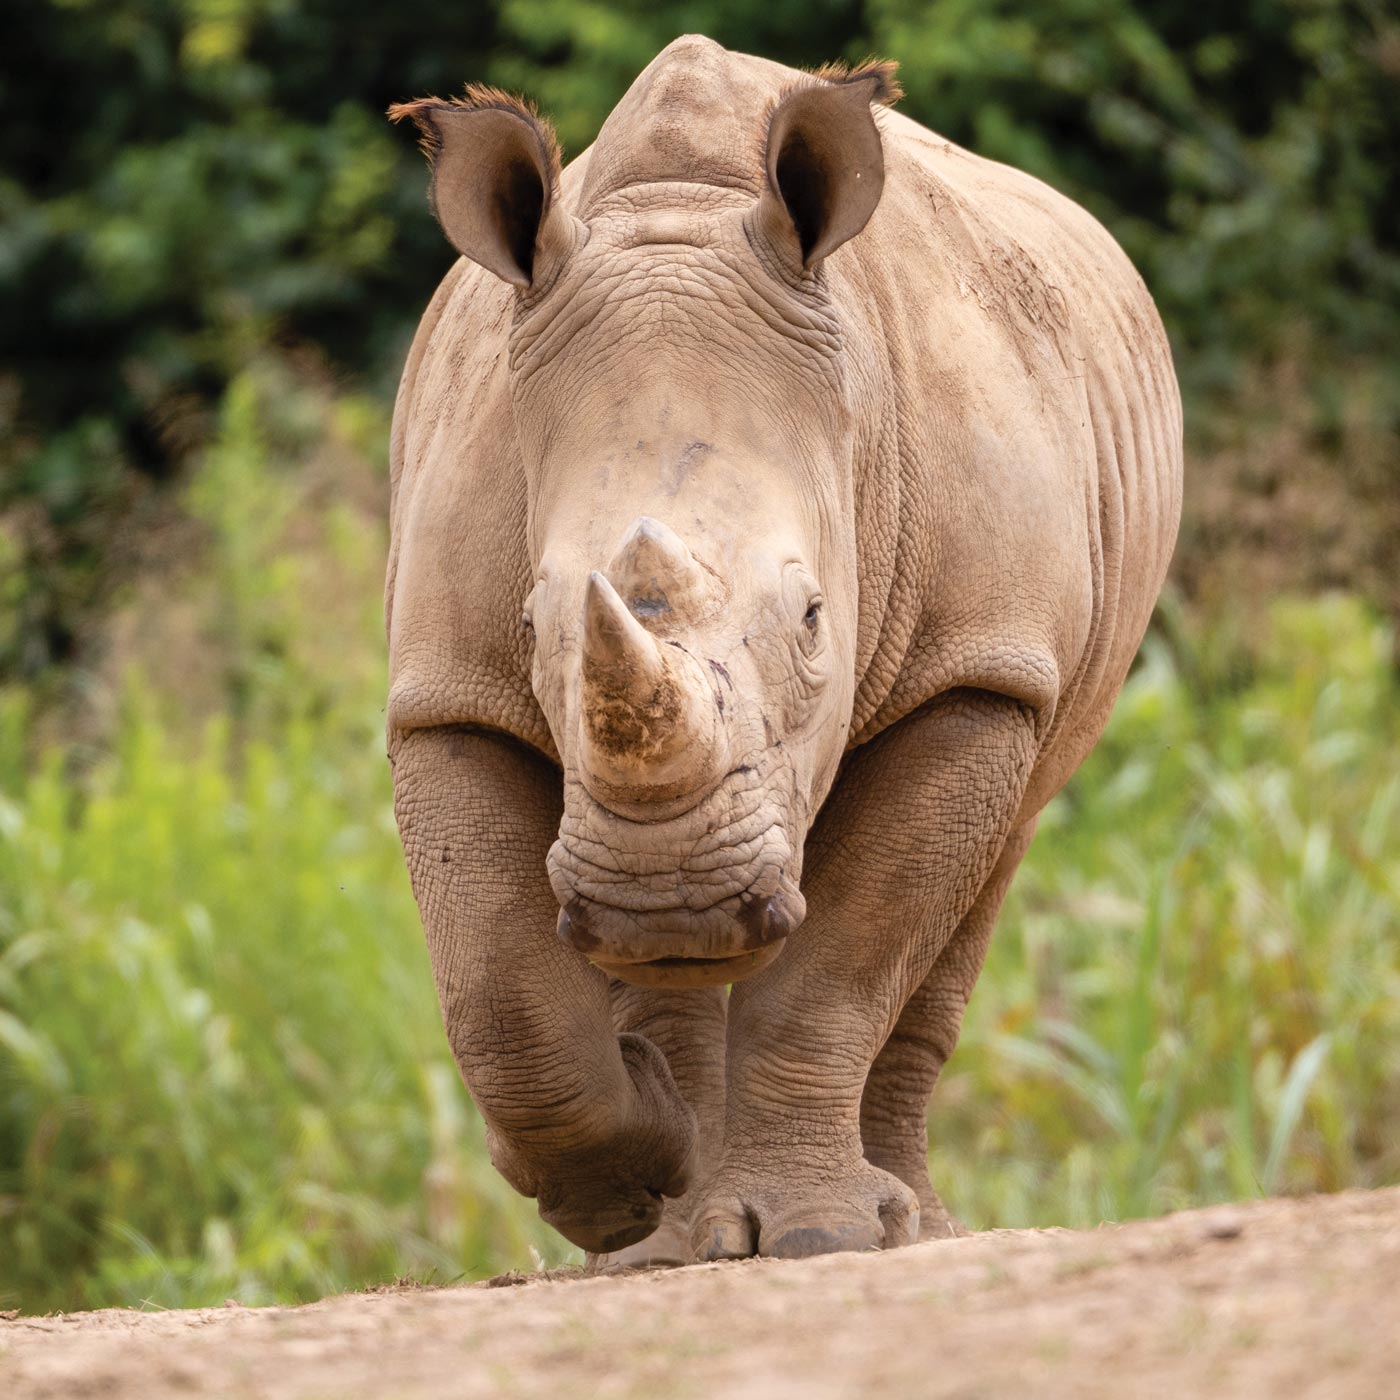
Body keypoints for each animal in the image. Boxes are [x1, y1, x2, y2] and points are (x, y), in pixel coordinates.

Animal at [385, 35, 1181, 1266]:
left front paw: (817, 1235)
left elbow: (847, 959)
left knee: (985, 865)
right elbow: (497, 993)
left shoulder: (976, 668)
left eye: (813, 620)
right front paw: (629, 1181)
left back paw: (902, 1225)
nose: (662, 894)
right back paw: (672, 1233)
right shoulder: (444, 688)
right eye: (528, 627)